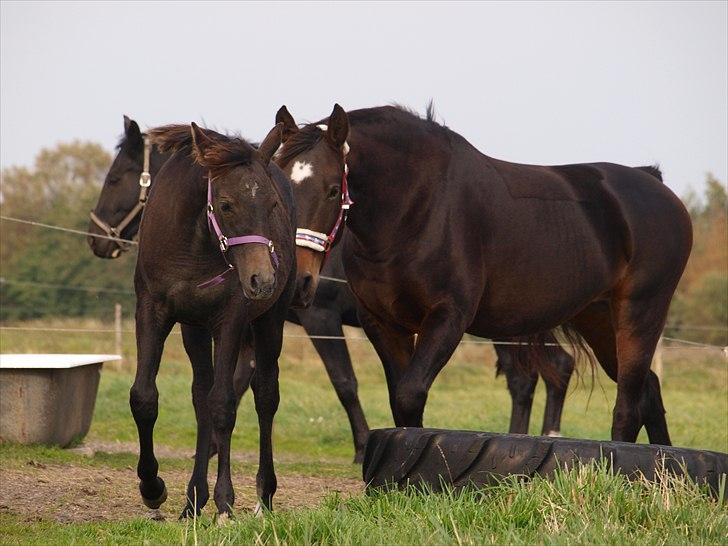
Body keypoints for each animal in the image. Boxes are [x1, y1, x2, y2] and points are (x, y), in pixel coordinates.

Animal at [131, 121, 292, 516]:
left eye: (272, 205)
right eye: (226, 205)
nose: (262, 281)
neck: (193, 246)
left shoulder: (231, 320)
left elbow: (223, 405)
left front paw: (225, 503)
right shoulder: (152, 311)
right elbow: (144, 397)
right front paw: (152, 488)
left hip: (270, 321)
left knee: (265, 396)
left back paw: (263, 495)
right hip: (195, 330)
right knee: (200, 395)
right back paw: (193, 499)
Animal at [276, 104, 692, 444]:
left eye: (333, 190)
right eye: (280, 186)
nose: (298, 282)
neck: (417, 209)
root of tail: (654, 182)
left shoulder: (446, 317)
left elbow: (404, 393)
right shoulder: (382, 322)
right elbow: (397, 397)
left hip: (639, 311)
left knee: (626, 405)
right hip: (596, 318)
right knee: (647, 389)